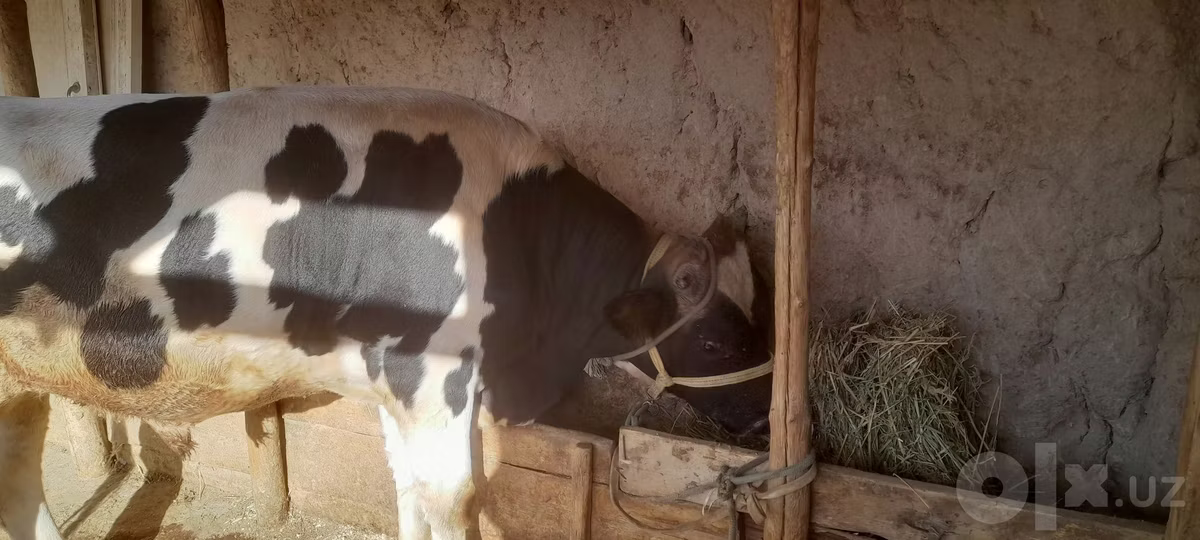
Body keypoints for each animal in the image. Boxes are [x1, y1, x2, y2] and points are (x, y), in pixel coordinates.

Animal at [0, 86, 774, 540]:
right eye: (719, 342)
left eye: (762, 309)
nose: (770, 421)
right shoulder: (430, 377)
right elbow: (454, 500)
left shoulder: (394, 381)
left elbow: (407, 489)